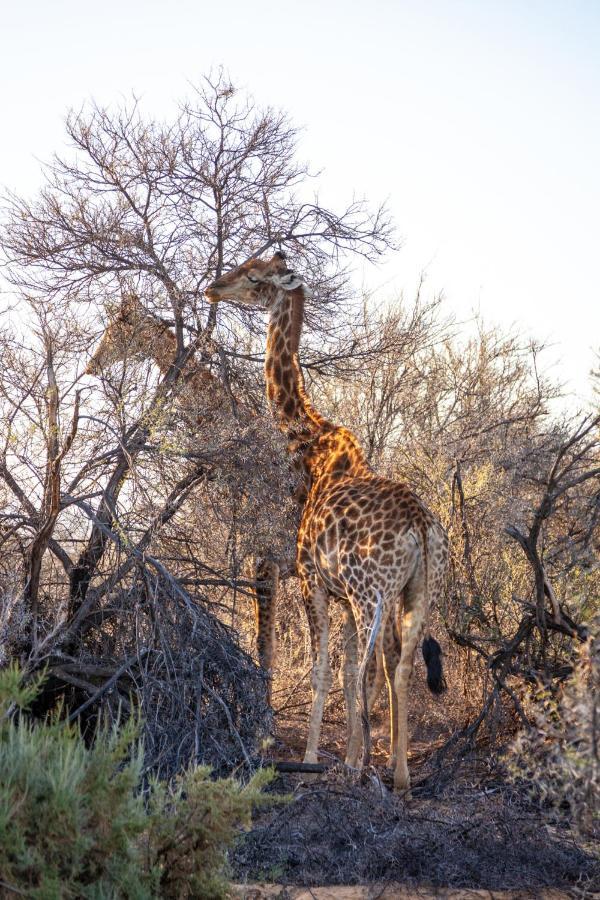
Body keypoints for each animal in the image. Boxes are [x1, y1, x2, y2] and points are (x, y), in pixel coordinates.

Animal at [206, 251, 446, 788]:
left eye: (254, 276)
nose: (213, 288)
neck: (310, 442)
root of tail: (420, 528)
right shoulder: (338, 592)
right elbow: (348, 667)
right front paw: (355, 754)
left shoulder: (312, 578)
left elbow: (325, 670)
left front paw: (315, 756)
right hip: (418, 589)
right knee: (399, 666)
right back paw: (398, 774)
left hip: (370, 590)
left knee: (375, 668)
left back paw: (368, 769)